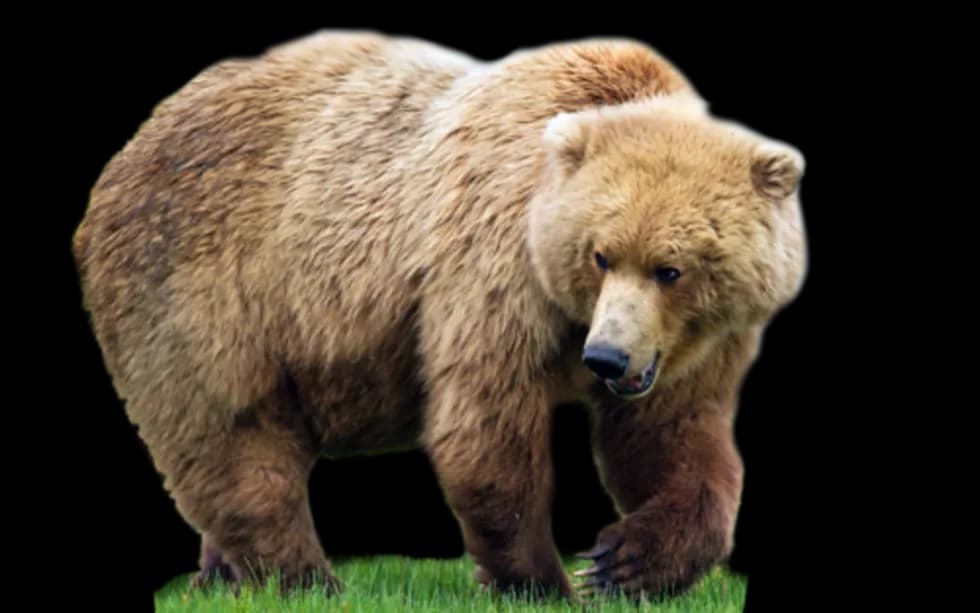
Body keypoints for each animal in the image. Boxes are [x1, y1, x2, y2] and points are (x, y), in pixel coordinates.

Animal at [72, 30, 807, 601]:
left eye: (671, 268)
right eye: (600, 255)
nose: (607, 359)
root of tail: (133, 145)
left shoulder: (693, 342)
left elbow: (672, 435)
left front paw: (623, 561)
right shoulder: (493, 267)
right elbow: (486, 423)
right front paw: (542, 580)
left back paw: (220, 573)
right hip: (205, 281)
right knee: (235, 430)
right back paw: (307, 578)